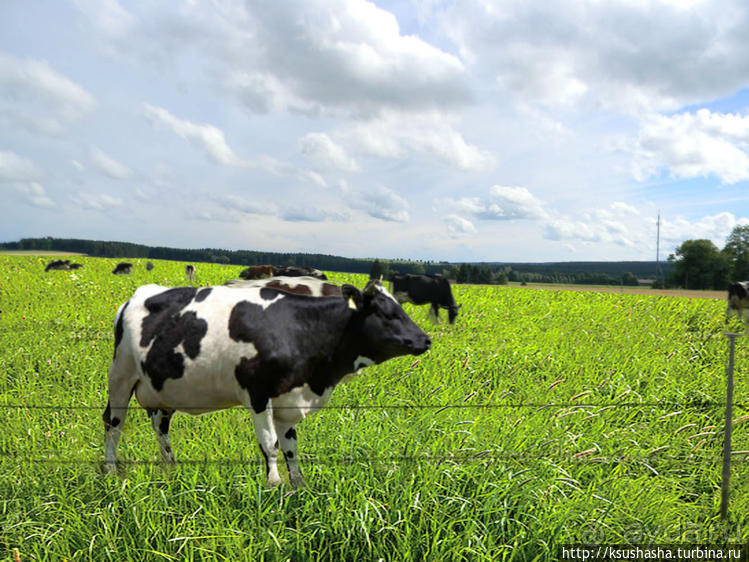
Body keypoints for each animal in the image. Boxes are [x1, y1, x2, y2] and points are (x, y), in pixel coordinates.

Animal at [102, 278, 430, 484]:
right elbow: (270, 445)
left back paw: (170, 468)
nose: (425, 340)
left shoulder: (288, 400)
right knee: (113, 422)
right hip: (121, 373)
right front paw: (275, 485)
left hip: (161, 390)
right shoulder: (257, 394)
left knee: (161, 427)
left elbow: (291, 448)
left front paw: (298, 486)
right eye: (387, 313)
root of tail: (138, 295)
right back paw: (110, 471)